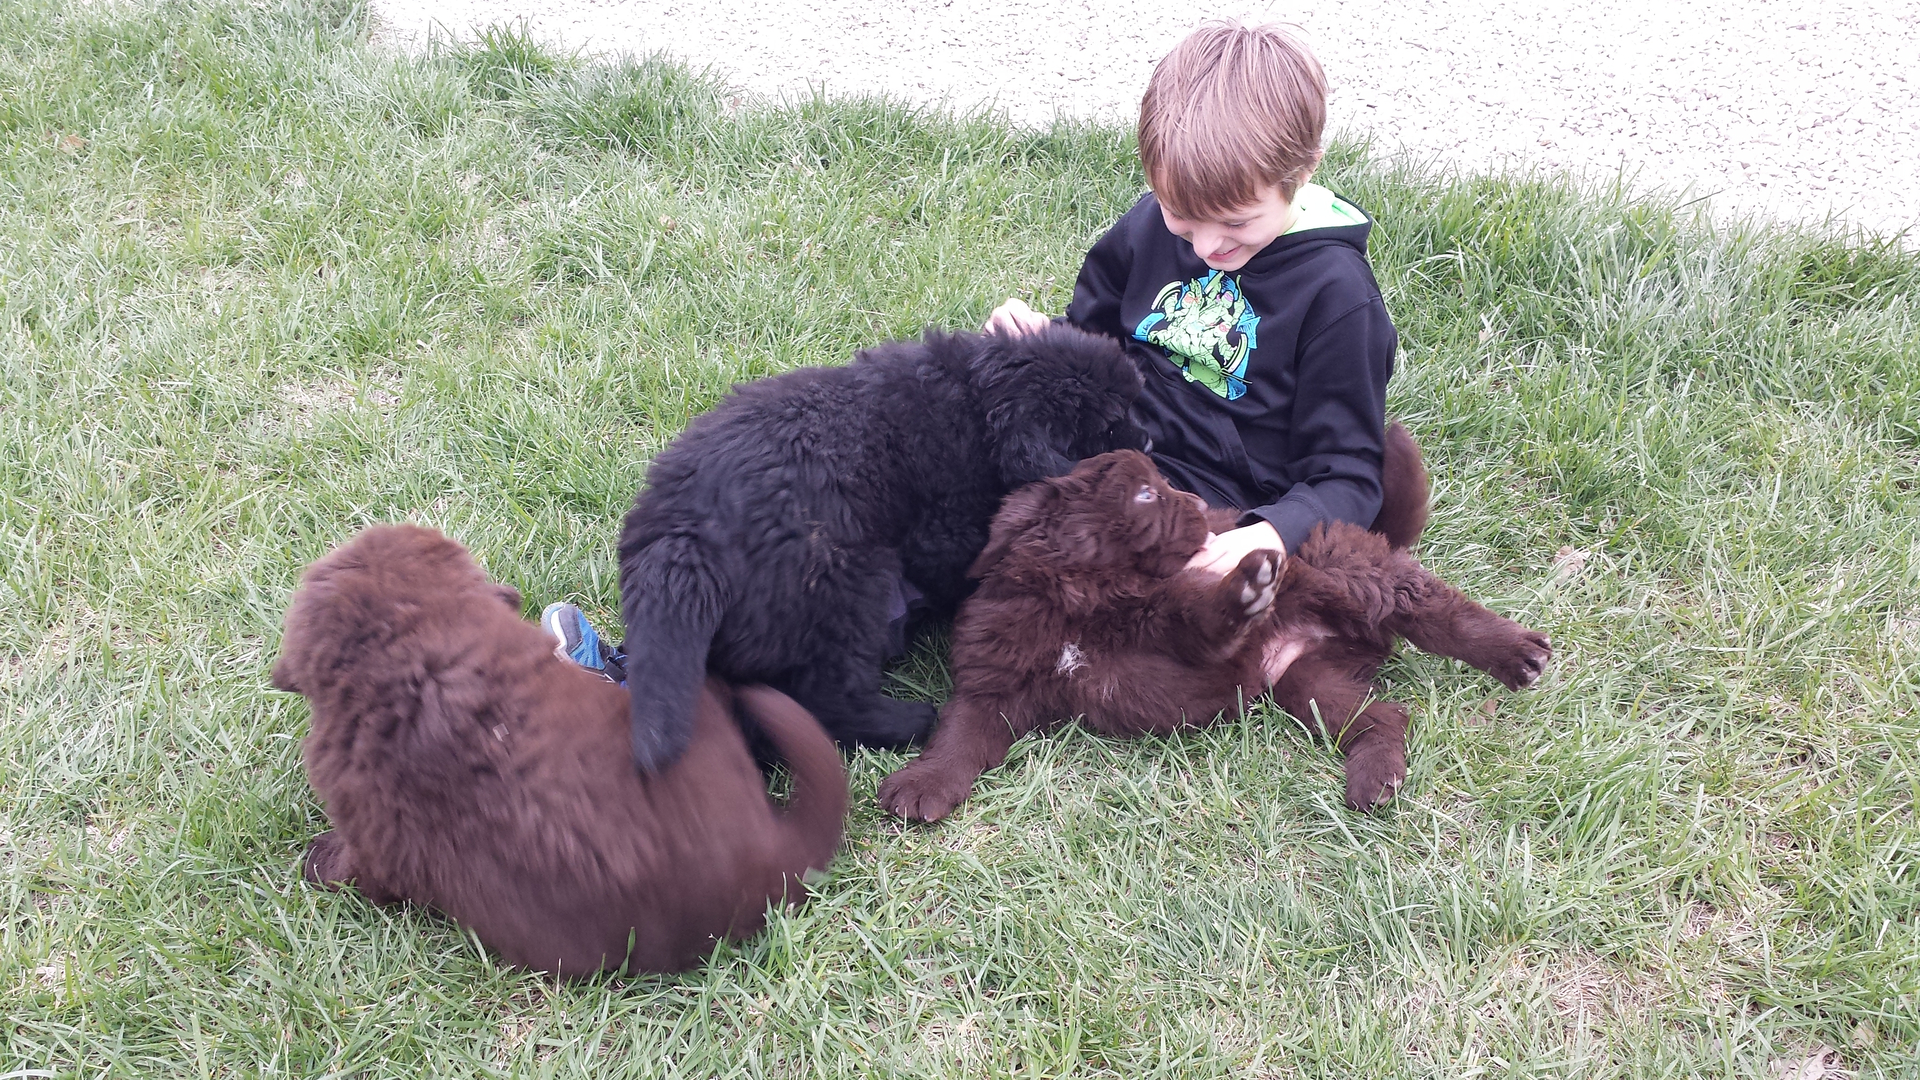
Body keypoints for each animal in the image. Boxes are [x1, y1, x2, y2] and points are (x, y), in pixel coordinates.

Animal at [622, 322, 1144, 768]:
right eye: (1108, 430)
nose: (1150, 444)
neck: (980, 406)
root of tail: (679, 537)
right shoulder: (945, 527)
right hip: (846, 585)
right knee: (825, 693)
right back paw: (909, 721)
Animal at [879, 420, 1551, 814]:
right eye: (1145, 493)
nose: (1205, 510)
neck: (1078, 598)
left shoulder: (1174, 623)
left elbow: (1197, 612)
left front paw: (1246, 585)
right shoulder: (996, 683)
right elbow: (959, 734)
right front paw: (922, 786)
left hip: (1345, 571)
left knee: (1432, 607)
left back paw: (1518, 653)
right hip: (1307, 683)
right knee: (1384, 715)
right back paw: (1373, 779)